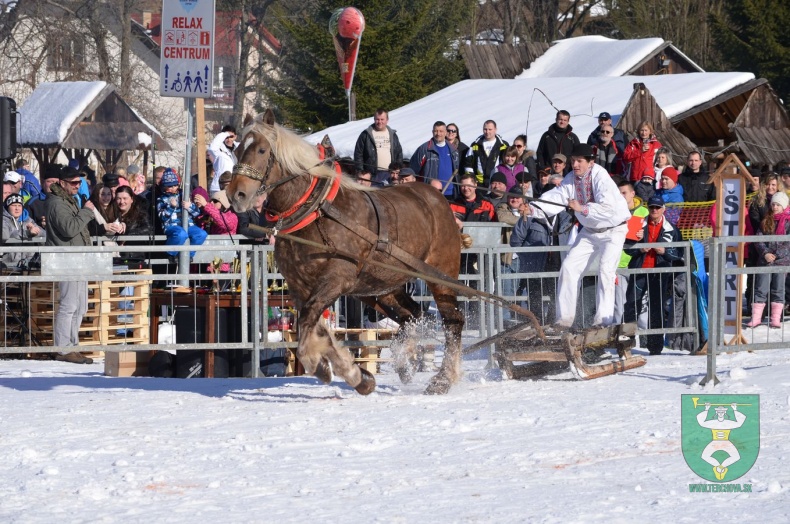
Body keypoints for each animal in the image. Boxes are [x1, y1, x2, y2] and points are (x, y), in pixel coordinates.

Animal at [226, 110, 468, 396]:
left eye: (262, 149)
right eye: (237, 149)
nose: (236, 194)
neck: (316, 210)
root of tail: (438, 198)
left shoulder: (336, 280)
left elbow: (308, 328)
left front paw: (321, 365)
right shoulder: (300, 288)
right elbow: (316, 328)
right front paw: (357, 375)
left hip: (440, 274)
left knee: (453, 321)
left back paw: (442, 379)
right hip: (381, 288)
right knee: (414, 316)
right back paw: (403, 361)